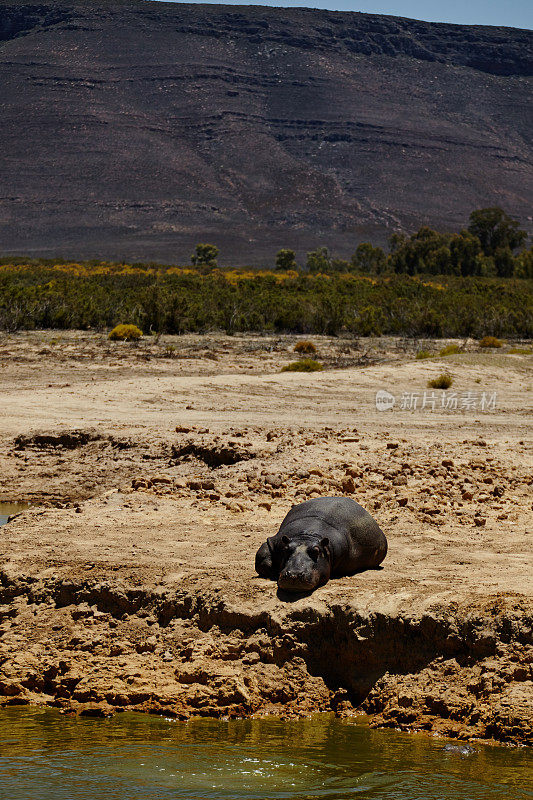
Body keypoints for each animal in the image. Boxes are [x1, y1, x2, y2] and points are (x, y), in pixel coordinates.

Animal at [255, 494, 386, 592]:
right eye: (286, 549)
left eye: (316, 551)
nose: (294, 574)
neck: (306, 536)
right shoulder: (275, 541)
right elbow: (262, 554)